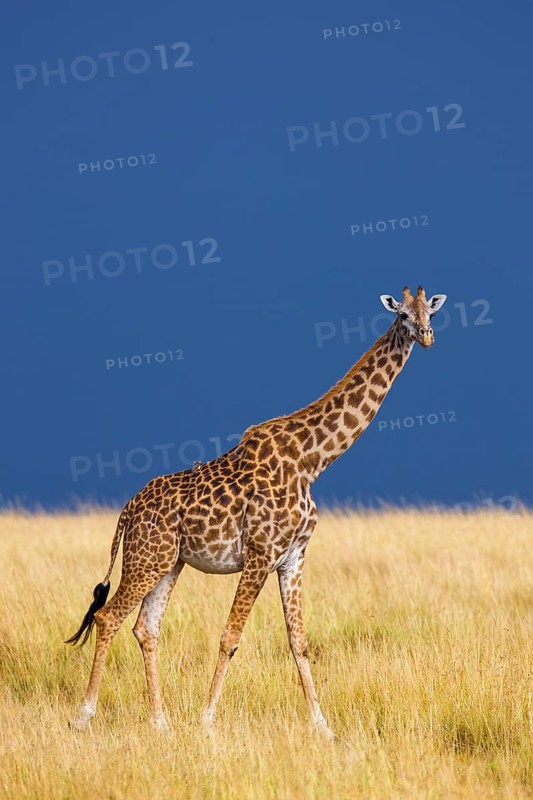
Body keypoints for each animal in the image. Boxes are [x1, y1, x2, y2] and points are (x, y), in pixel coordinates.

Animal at [66, 286, 447, 737]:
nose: (426, 336)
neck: (312, 460)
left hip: (169, 562)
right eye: (403, 314)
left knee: (146, 627)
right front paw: (207, 721)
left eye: (430, 312)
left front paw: (323, 726)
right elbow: (230, 637)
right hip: (147, 558)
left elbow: (299, 640)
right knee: (108, 616)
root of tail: (126, 512)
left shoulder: (293, 557)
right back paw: (84, 715)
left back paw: (160, 722)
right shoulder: (261, 553)